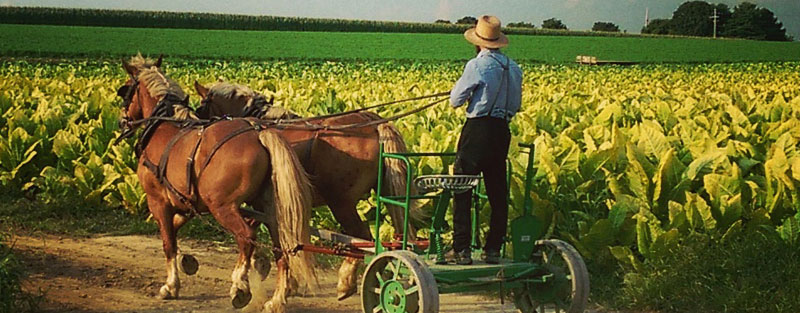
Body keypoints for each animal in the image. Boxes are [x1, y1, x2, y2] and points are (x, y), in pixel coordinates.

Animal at [118, 56, 316, 312]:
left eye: (124, 91)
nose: (122, 121)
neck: (164, 127)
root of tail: (259, 133)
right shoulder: (188, 201)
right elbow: (175, 227)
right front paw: (187, 261)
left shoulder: (158, 201)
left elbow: (168, 241)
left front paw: (171, 286)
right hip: (270, 208)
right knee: (280, 247)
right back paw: (277, 299)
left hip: (223, 206)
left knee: (246, 236)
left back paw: (240, 286)